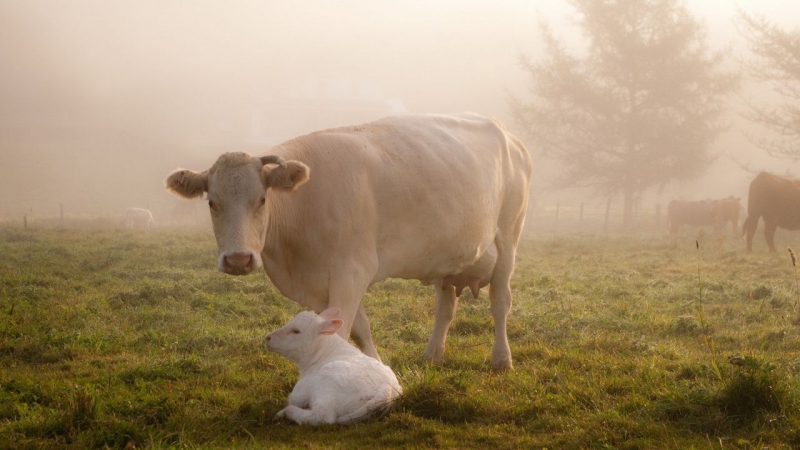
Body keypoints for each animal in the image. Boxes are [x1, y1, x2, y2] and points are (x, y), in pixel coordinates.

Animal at [164, 111, 532, 370]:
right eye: (212, 202)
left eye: (263, 199)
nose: (238, 259)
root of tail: (508, 133)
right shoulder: (318, 286)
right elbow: (358, 329)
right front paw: (375, 369)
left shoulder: (351, 271)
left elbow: (340, 334)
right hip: (448, 255)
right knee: (446, 308)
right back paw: (432, 355)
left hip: (509, 236)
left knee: (501, 301)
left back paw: (502, 359)